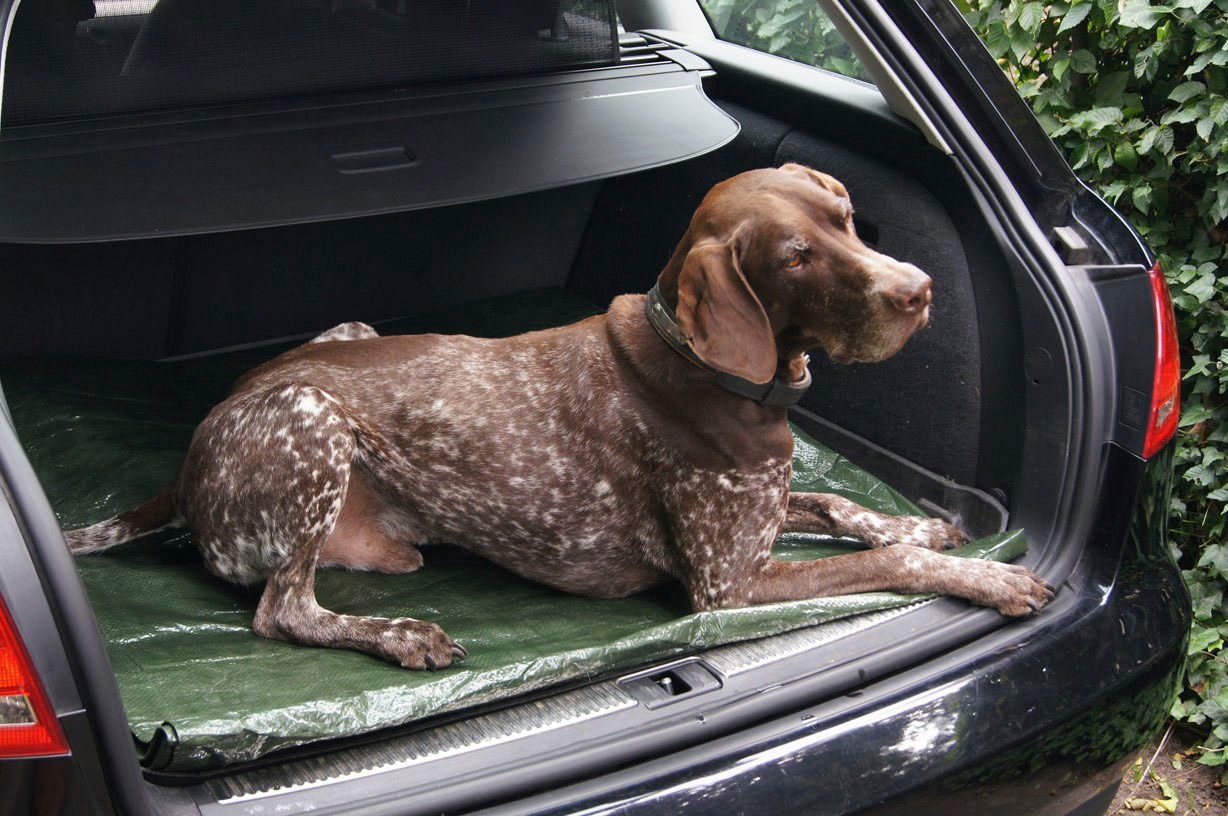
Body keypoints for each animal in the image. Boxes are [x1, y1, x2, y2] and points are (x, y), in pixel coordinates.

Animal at [62, 165, 1051, 668]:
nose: (920, 291)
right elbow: (885, 565)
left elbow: (845, 509)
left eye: (846, 216)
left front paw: (921, 523)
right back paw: (400, 635)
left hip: (351, 337)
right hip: (310, 417)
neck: (715, 372)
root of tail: (188, 461)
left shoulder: (767, 507)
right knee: (281, 611)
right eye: (796, 257)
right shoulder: (727, 588)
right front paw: (989, 578)